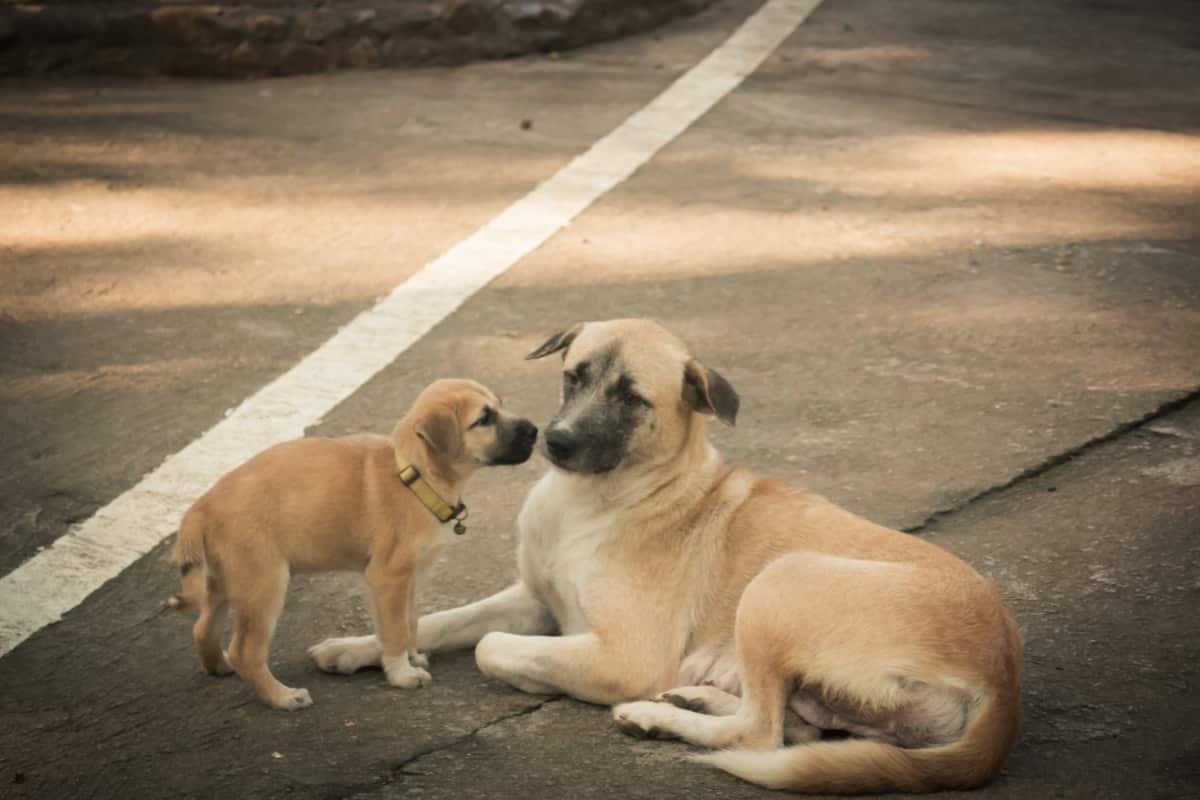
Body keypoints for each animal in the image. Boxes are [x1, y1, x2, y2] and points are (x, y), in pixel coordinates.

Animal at [170, 379, 540, 710]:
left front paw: (412, 658)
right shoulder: (388, 577)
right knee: (245, 652)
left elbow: (408, 622)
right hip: (263, 585)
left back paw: (218, 667)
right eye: (484, 419)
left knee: (203, 628)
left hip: (225, 581)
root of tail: (201, 507)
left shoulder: (407, 580)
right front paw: (402, 674)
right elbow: (394, 631)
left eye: (500, 405)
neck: (415, 475)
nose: (536, 430)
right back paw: (282, 697)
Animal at [312, 321, 1022, 796]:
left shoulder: (623, 654)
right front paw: (358, 648)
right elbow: (431, 620)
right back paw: (693, 698)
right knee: (794, 729)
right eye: (573, 376)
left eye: (632, 398)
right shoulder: (534, 598)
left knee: (761, 734)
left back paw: (655, 715)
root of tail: (1004, 679)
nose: (553, 441)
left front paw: (530, 679)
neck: (602, 497)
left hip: (778, 583)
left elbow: (490, 646)